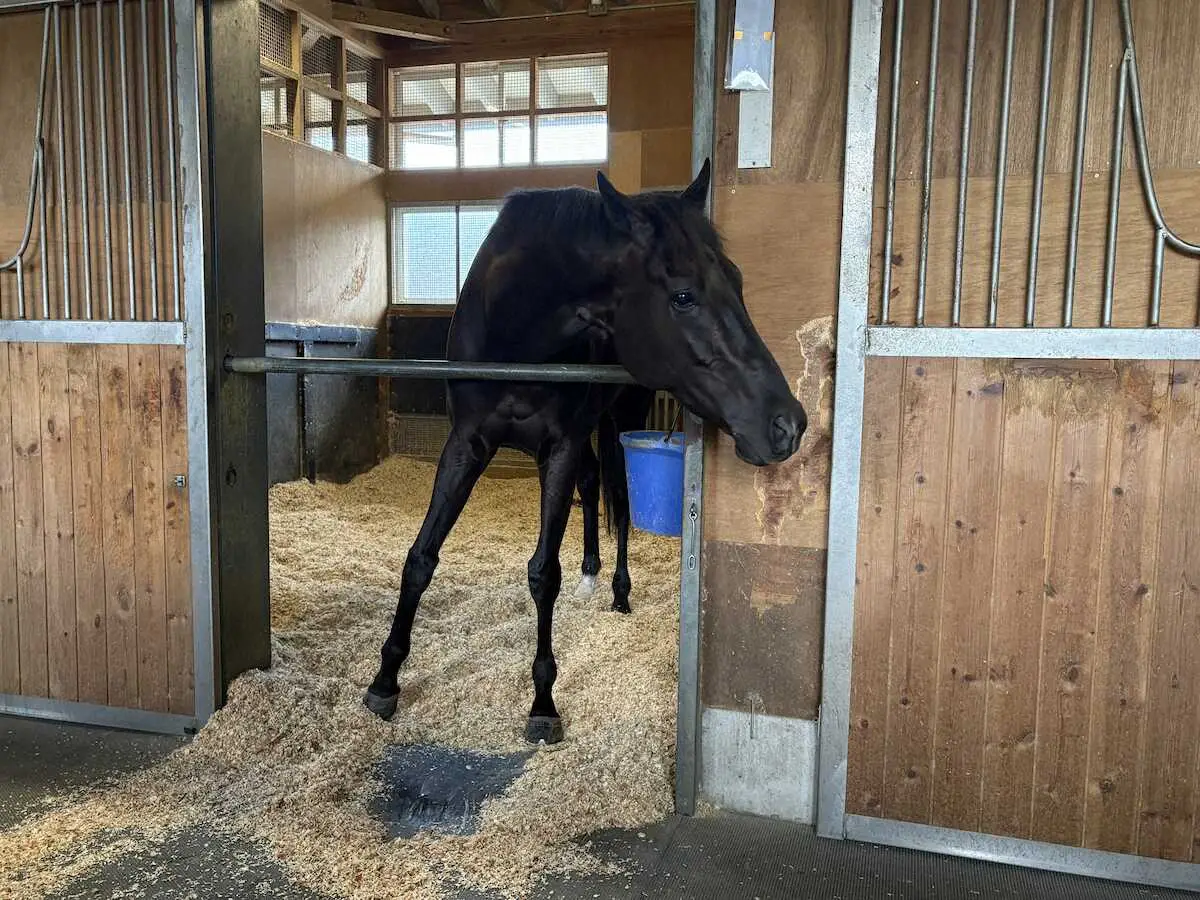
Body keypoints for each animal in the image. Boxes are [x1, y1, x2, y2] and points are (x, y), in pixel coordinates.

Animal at [364, 159, 807, 745]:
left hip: (621, 417)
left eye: (736, 280)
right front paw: (385, 678)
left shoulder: (560, 445)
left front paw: (543, 703)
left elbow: (542, 572)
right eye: (682, 295)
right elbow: (421, 558)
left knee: (618, 495)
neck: (516, 329)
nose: (788, 425)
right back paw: (591, 571)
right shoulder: (468, 443)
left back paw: (618, 589)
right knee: (595, 485)